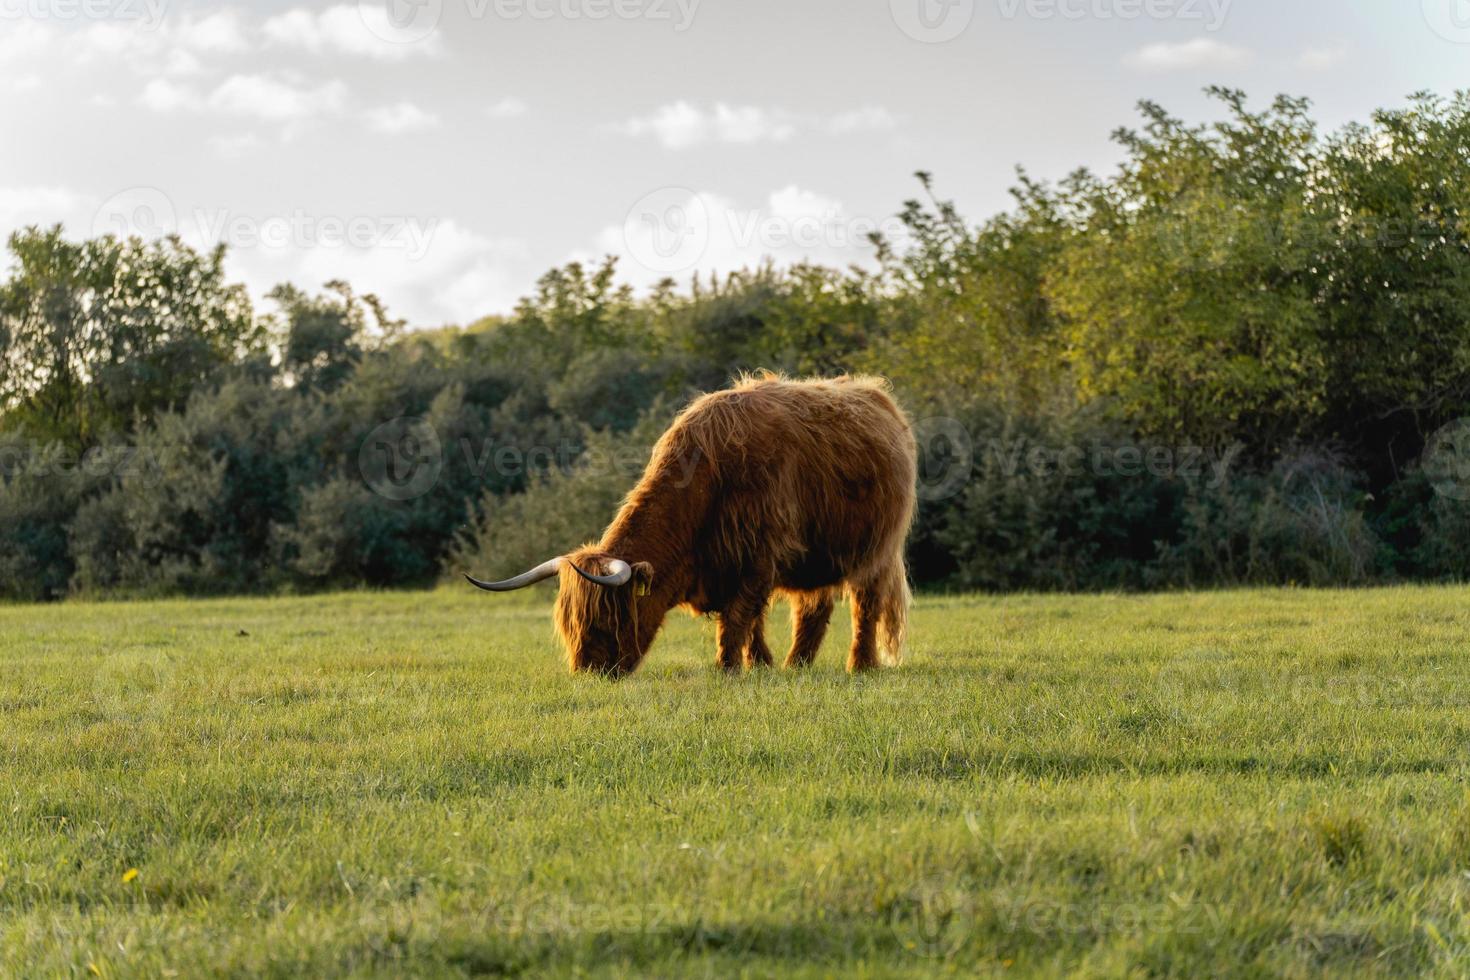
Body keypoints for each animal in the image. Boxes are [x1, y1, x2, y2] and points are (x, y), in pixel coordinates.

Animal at [464, 371, 911, 678]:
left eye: (607, 620)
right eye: (568, 624)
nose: (588, 671)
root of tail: (876, 395)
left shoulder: (759, 556)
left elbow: (738, 618)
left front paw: (729, 669)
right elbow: (752, 622)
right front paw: (761, 666)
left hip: (876, 550)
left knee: (865, 605)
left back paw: (861, 665)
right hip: (816, 557)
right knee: (813, 607)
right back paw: (795, 665)